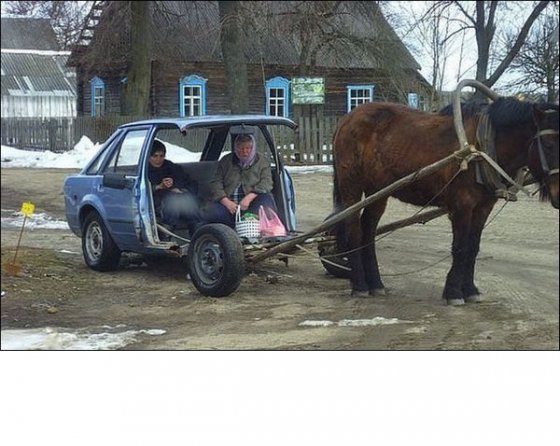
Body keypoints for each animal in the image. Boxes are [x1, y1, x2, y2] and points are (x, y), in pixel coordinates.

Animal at [332, 97, 560, 304]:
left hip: (378, 191)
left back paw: (375, 283)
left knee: (368, 232)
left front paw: (470, 290)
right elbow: (460, 247)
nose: (558, 195)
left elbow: (473, 247)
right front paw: (454, 292)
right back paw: (360, 285)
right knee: (354, 230)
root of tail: (346, 118)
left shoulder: (483, 207)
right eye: (549, 145)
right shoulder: (462, 205)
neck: (481, 148)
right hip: (352, 186)